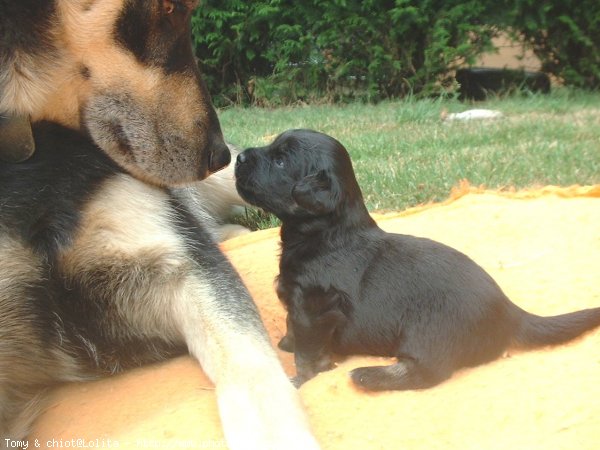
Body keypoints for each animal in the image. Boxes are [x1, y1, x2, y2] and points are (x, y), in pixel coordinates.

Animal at [237, 129, 600, 390]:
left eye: (281, 160)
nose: (238, 156)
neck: (325, 233)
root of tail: (509, 310)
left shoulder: (314, 307)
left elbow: (308, 354)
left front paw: (301, 379)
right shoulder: (298, 303)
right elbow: (292, 327)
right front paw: (286, 342)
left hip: (430, 329)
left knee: (429, 372)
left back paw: (367, 375)